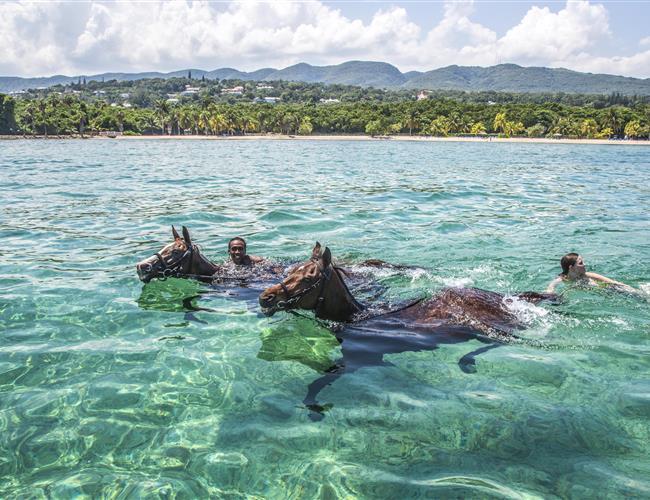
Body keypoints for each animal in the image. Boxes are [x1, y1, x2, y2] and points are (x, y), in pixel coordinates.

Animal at [259, 243, 557, 420]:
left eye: (308, 277)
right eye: (291, 270)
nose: (265, 298)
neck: (359, 317)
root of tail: (507, 297)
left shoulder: (360, 360)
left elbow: (316, 384)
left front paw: (314, 408)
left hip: (485, 329)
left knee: (506, 342)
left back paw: (467, 361)